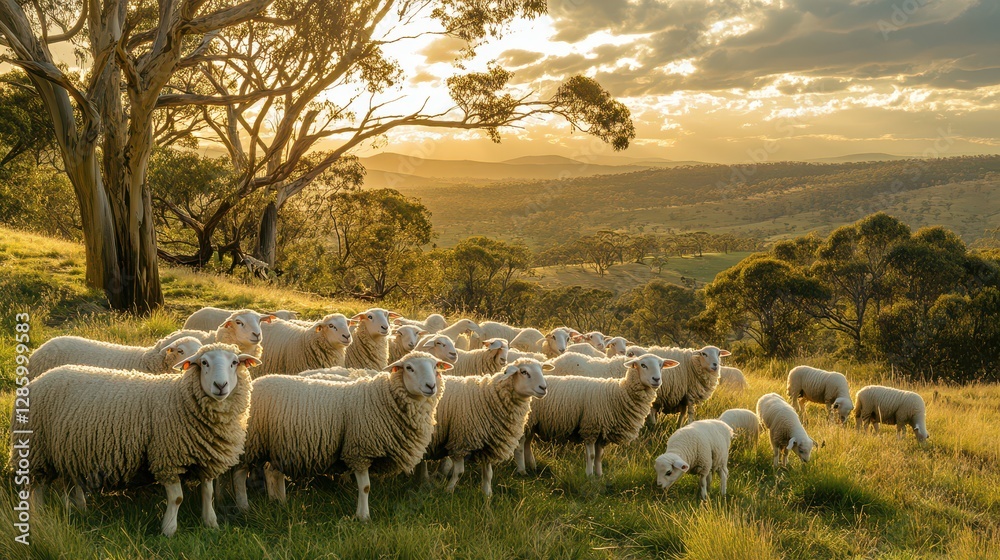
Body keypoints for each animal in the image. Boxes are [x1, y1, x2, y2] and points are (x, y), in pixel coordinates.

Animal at [15, 343, 258, 536]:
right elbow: (177, 499)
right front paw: (169, 530)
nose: (220, 386)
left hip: (67, 449)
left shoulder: (206, 458)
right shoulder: (166, 457)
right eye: (204, 362)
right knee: (36, 487)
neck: (179, 398)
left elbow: (208, 493)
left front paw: (211, 523)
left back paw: (76, 509)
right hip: (37, 449)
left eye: (234, 362)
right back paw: (37, 515)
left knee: (69, 480)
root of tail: (39, 378)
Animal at [234, 352, 451, 521]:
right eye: (409, 368)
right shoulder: (359, 450)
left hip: (279, 444)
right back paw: (244, 507)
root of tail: (255, 384)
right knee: (239, 474)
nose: (431, 386)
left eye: (435, 366)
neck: (383, 397)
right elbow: (365, 487)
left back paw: (278, 501)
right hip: (251, 442)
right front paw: (363, 517)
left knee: (272, 472)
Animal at [420, 358, 551, 495]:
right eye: (524, 372)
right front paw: (449, 490)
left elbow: (488, 474)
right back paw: (425, 480)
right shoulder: (461, 442)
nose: (543, 388)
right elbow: (459, 472)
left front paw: (487, 495)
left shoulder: (490, 445)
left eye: (542, 370)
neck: (488, 397)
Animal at [517, 354, 677, 477]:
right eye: (643, 365)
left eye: (661, 365)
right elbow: (591, 455)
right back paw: (522, 470)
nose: (656, 379)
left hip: (532, 422)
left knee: (527, 443)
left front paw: (599, 475)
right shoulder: (590, 427)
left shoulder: (602, 432)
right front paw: (589, 475)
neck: (619, 394)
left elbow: (599, 456)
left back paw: (532, 466)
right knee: (520, 445)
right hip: (526, 421)